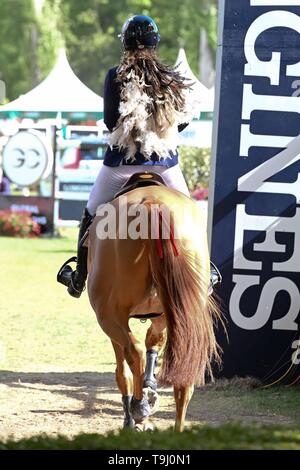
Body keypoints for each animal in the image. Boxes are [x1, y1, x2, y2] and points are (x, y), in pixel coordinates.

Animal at [86, 185, 220, 434]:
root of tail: (153, 203)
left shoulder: (114, 322)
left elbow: (122, 371)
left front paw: (133, 415)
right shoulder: (164, 316)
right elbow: (154, 341)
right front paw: (149, 387)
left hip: (108, 315)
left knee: (134, 350)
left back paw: (139, 407)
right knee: (183, 379)